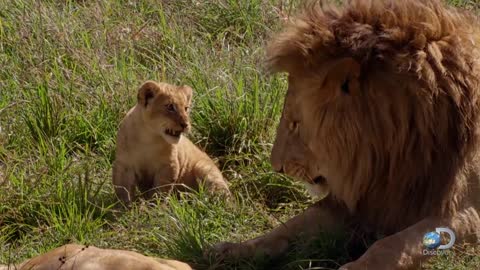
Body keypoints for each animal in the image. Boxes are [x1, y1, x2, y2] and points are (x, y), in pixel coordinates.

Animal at [214, 1, 480, 268]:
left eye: (295, 123)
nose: (276, 167)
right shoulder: (368, 198)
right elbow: (291, 226)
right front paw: (231, 249)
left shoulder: (465, 209)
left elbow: (394, 245)